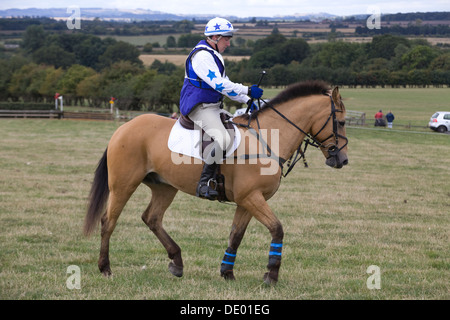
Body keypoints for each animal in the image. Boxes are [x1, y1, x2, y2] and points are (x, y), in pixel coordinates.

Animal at [82, 80, 348, 284]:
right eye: (342, 122)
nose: (342, 160)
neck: (266, 138)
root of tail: (123, 128)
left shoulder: (246, 202)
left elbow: (236, 236)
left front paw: (227, 271)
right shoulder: (252, 198)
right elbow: (277, 229)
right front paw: (271, 274)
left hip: (165, 187)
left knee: (152, 218)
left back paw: (177, 262)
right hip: (123, 185)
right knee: (109, 221)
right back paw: (105, 267)